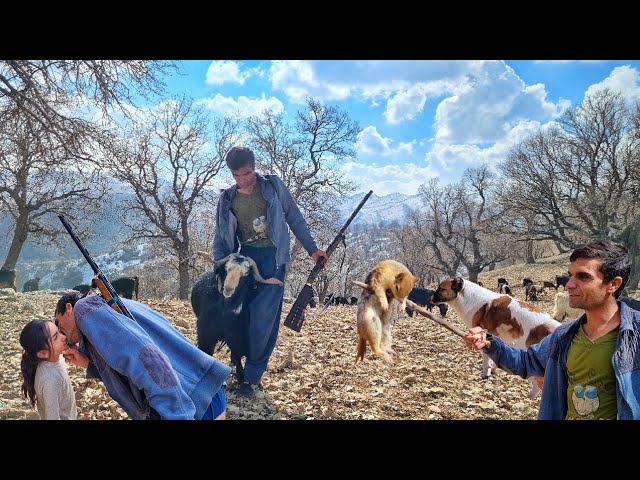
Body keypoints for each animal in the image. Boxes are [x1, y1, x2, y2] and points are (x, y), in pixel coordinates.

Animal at [430, 276, 560, 400]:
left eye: (441, 288)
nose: (429, 299)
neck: (466, 296)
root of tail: (549, 325)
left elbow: (486, 359)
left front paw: (485, 374)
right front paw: (493, 368)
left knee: (537, 383)